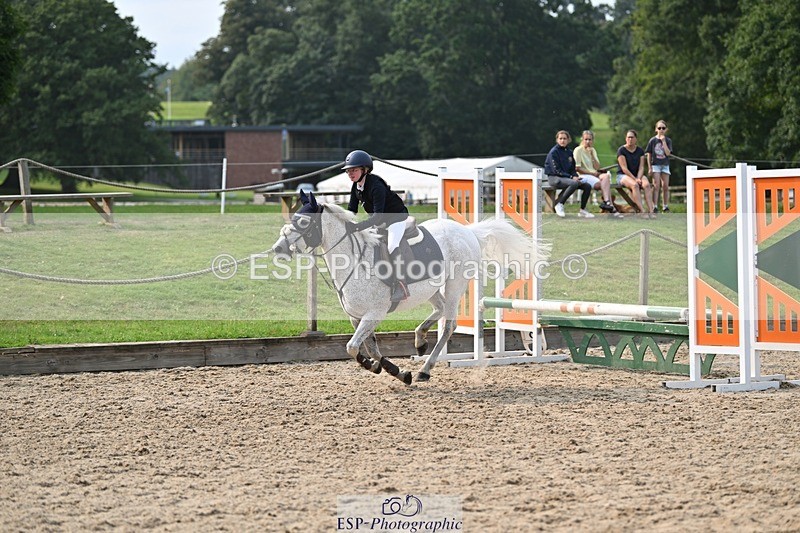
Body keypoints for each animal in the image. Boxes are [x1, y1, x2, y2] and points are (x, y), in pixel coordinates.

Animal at [270, 191, 548, 384]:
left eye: (303, 222)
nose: (278, 248)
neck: (353, 260)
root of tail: (468, 231)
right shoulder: (357, 317)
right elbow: (369, 347)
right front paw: (395, 371)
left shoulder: (374, 314)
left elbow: (353, 347)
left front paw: (384, 368)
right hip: (432, 289)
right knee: (438, 310)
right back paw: (420, 340)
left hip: (455, 284)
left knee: (449, 324)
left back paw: (425, 369)